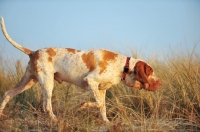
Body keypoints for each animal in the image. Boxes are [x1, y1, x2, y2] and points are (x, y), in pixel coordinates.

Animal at [0, 17, 162, 122]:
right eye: (151, 72)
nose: (160, 83)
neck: (123, 66)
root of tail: (34, 52)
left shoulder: (101, 90)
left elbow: (102, 107)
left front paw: (106, 122)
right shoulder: (91, 81)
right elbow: (98, 104)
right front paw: (84, 105)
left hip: (29, 81)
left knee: (8, 93)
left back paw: (1, 115)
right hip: (47, 83)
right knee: (47, 106)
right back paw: (54, 118)